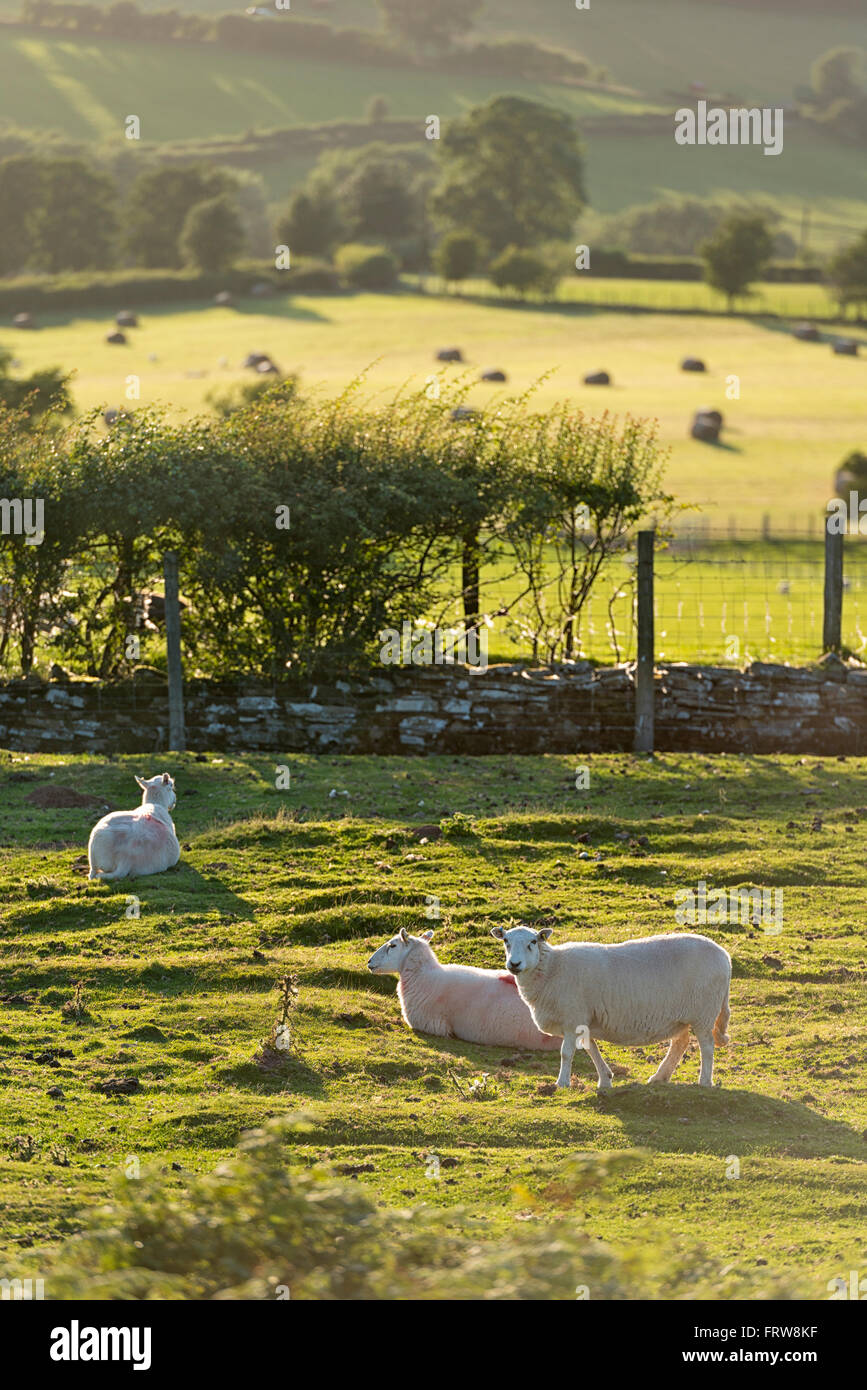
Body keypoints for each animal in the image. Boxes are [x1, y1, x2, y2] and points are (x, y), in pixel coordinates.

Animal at [491, 928, 728, 1089]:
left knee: (707, 1046)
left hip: (704, 1013)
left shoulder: (572, 1018)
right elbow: (590, 1048)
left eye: (533, 941)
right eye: (506, 941)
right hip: (681, 1017)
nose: (514, 964)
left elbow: (566, 1053)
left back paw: (704, 1081)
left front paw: (562, 1082)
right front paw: (605, 1079)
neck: (552, 968)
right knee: (680, 1043)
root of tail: (724, 956)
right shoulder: (584, 1019)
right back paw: (660, 1077)